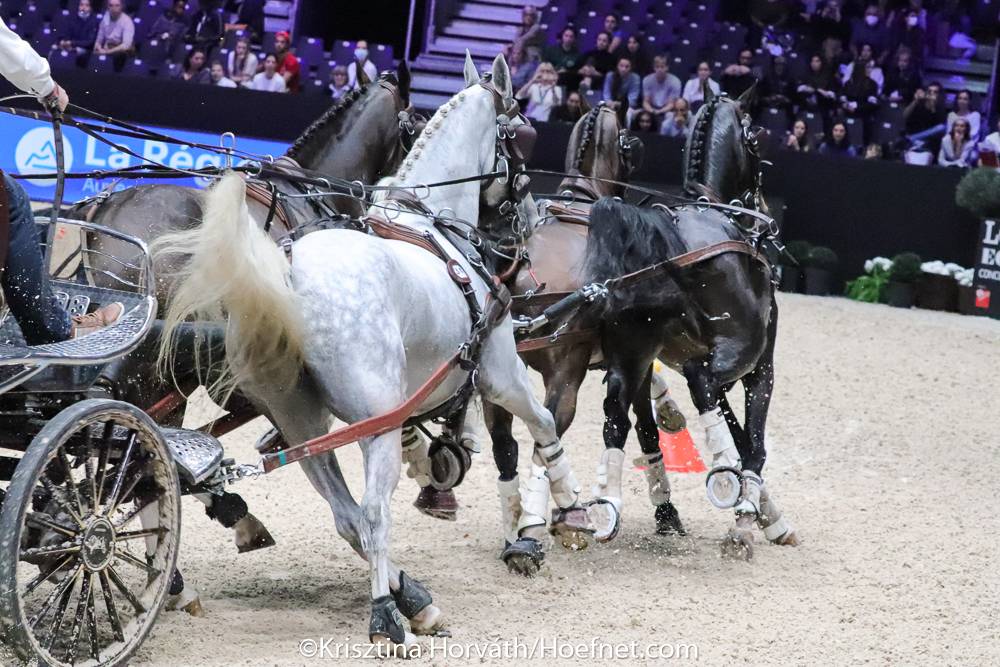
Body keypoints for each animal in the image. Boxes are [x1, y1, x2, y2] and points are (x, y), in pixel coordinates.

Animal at [155, 54, 590, 651]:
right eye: (522, 133)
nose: (532, 217)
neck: (432, 222)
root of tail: (287, 273)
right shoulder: (498, 370)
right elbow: (545, 422)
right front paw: (568, 507)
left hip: (302, 425)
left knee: (346, 516)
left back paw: (416, 601)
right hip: (373, 424)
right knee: (374, 513)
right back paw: (386, 614)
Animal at [581, 86, 799, 560]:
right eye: (756, 142)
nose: (762, 205)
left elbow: (738, 435)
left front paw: (769, 516)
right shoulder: (761, 368)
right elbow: (753, 447)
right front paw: (747, 520)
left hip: (632, 357)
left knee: (616, 415)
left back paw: (607, 507)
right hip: (736, 351)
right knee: (701, 382)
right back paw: (723, 480)